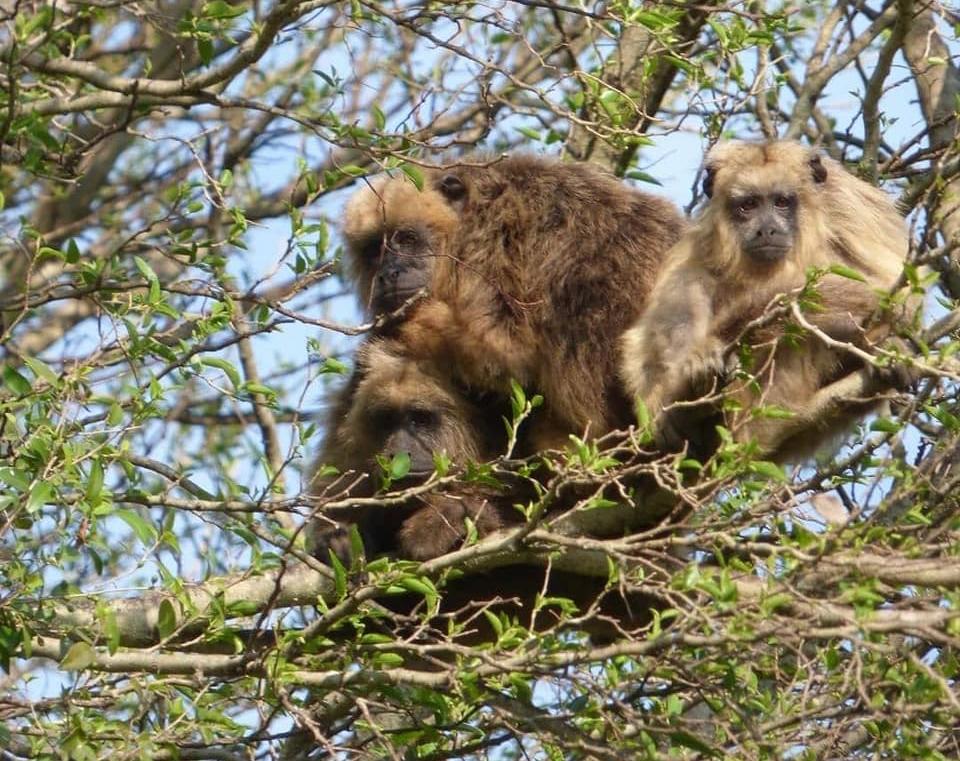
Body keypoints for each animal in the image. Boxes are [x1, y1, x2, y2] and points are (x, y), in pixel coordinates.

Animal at [620, 140, 912, 460]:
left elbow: (891, 292)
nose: (766, 230)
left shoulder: (848, 204)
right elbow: (661, 318)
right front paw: (696, 362)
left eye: (782, 202)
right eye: (747, 205)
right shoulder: (706, 235)